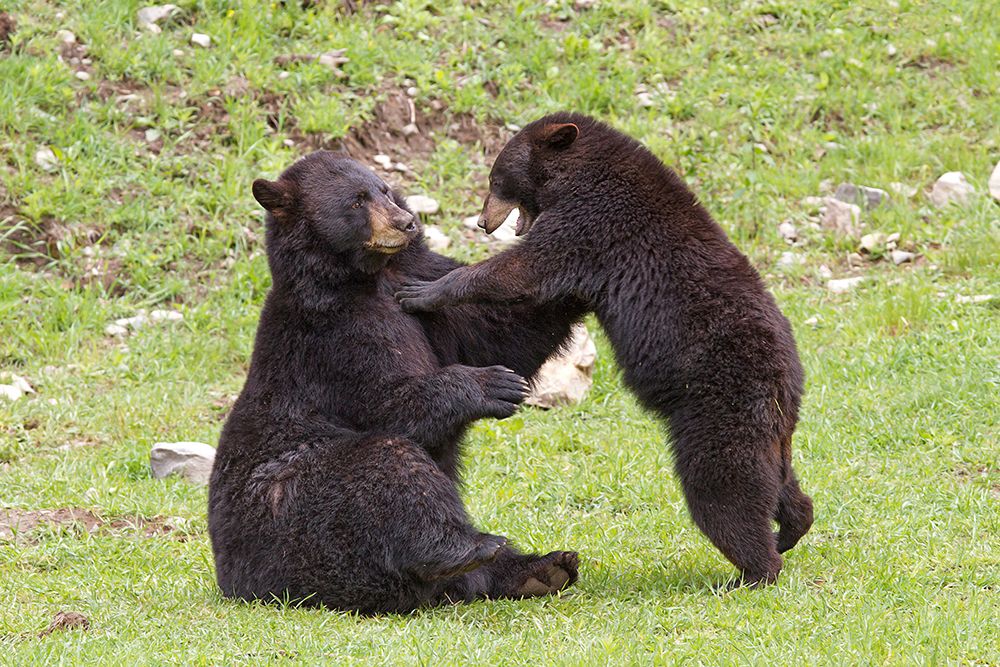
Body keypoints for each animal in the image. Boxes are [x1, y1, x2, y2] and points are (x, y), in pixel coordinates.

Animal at [208, 151, 583, 614]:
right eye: (356, 201)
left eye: (384, 189)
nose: (406, 222)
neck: (365, 279)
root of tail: (233, 579)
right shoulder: (334, 339)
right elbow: (390, 401)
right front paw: (492, 385)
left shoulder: (420, 290)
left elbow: (500, 329)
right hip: (290, 511)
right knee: (387, 463)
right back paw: (465, 548)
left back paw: (543, 568)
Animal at [396, 113, 814, 587]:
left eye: (495, 179)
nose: (484, 222)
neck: (580, 174)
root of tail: (787, 379)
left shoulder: (592, 222)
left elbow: (523, 269)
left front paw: (424, 290)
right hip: (770, 430)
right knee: (780, 482)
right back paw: (792, 527)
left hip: (718, 405)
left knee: (723, 488)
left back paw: (753, 571)